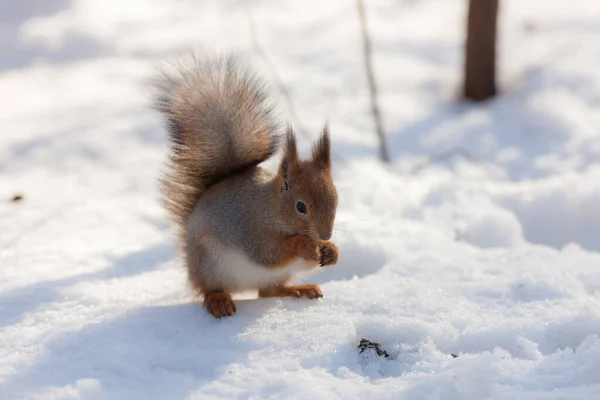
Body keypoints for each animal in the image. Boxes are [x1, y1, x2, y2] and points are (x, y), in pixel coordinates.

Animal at [152, 52, 340, 318]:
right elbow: (269, 253)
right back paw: (219, 301)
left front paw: (331, 250)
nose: (325, 234)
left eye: (336, 200)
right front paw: (304, 244)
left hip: (276, 276)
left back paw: (300, 289)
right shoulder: (250, 229)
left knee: (269, 292)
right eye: (301, 207)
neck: (271, 208)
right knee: (210, 289)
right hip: (211, 265)